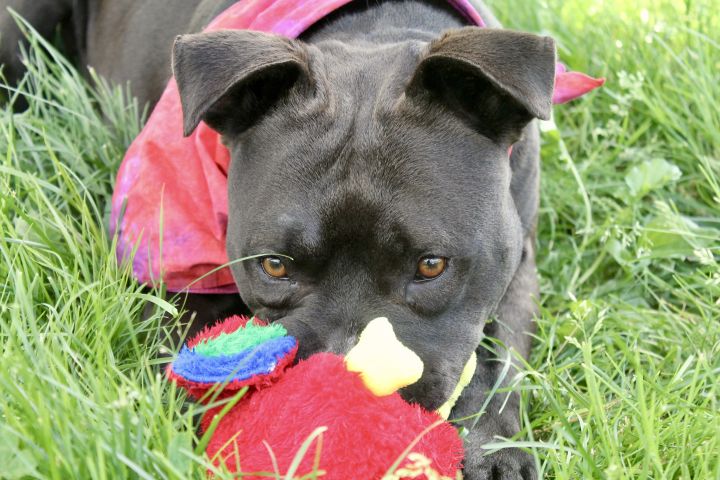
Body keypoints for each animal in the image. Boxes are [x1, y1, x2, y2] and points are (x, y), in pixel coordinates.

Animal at [1, 1, 552, 478]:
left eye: (431, 265)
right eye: (274, 265)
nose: (342, 393)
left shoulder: (517, 262)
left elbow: (499, 358)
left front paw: (492, 448)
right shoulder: (171, 272)